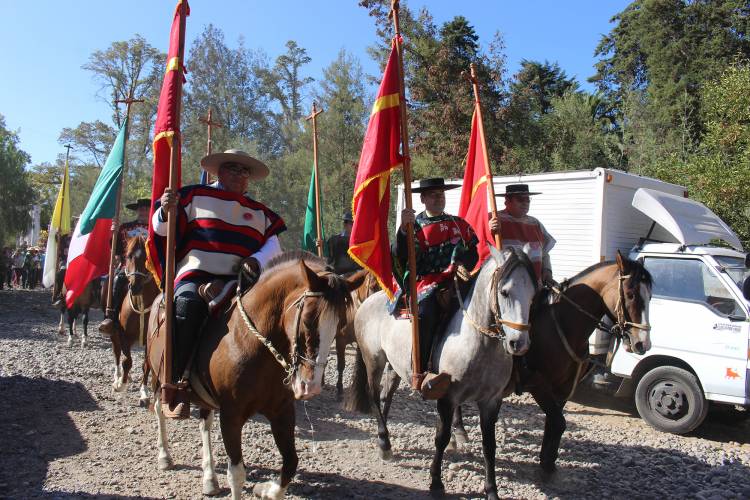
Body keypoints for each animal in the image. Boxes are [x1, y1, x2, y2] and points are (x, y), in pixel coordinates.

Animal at [109, 235, 159, 406]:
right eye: (128, 255)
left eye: (146, 258)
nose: (135, 286)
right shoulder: (124, 336)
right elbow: (126, 361)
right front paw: (120, 385)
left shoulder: (150, 340)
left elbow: (146, 365)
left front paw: (144, 393)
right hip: (114, 335)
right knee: (117, 354)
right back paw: (117, 377)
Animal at [148, 252, 368, 500]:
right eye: (308, 319)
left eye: (340, 323)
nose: (309, 386)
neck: (251, 343)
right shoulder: (231, 415)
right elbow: (236, 473)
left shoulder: (282, 410)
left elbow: (291, 463)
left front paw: (267, 489)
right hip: (158, 377)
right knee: (159, 408)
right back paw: (165, 456)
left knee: (205, 422)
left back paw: (209, 478)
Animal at [346, 247, 540, 500]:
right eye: (504, 292)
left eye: (533, 295)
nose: (519, 343)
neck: (478, 342)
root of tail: (370, 300)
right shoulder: (448, 397)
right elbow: (441, 438)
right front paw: (436, 482)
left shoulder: (491, 401)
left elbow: (489, 445)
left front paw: (491, 490)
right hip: (373, 360)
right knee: (373, 396)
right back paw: (385, 444)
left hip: (394, 366)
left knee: (386, 396)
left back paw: (383, 439)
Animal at [450, 252, 656, 474]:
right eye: (631, 294)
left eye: (650, 296)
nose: (642, 343)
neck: (564, 326)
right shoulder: (538, 384)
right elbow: (558, 422)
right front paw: (547, 464)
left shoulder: (563, 389)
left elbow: (553, 423)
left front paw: (547, 459)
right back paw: (459, 431)